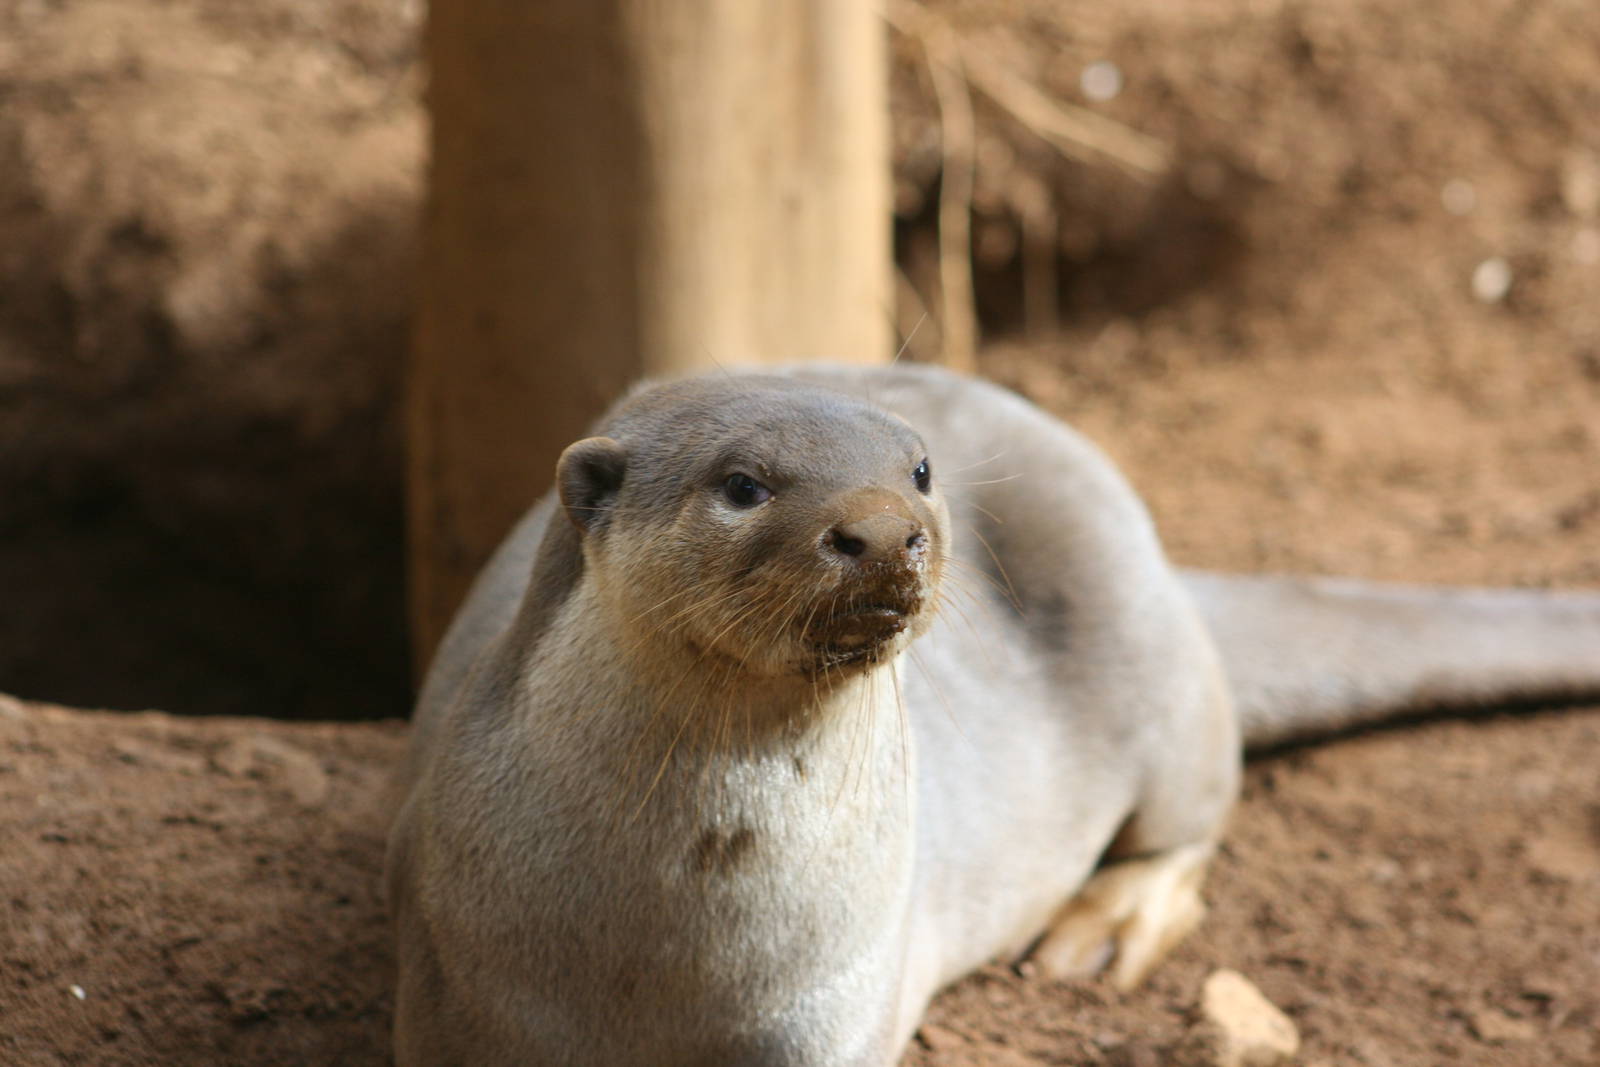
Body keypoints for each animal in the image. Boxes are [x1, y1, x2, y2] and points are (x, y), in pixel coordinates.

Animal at [386, 363, 1600, 1066]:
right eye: (742, 483)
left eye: (920, 471)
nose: (885, 526)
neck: (661, 952)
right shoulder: (456, 992)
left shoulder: (829, 1003)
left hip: (1152, 651)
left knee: (1195, 811)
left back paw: (1103, 925)